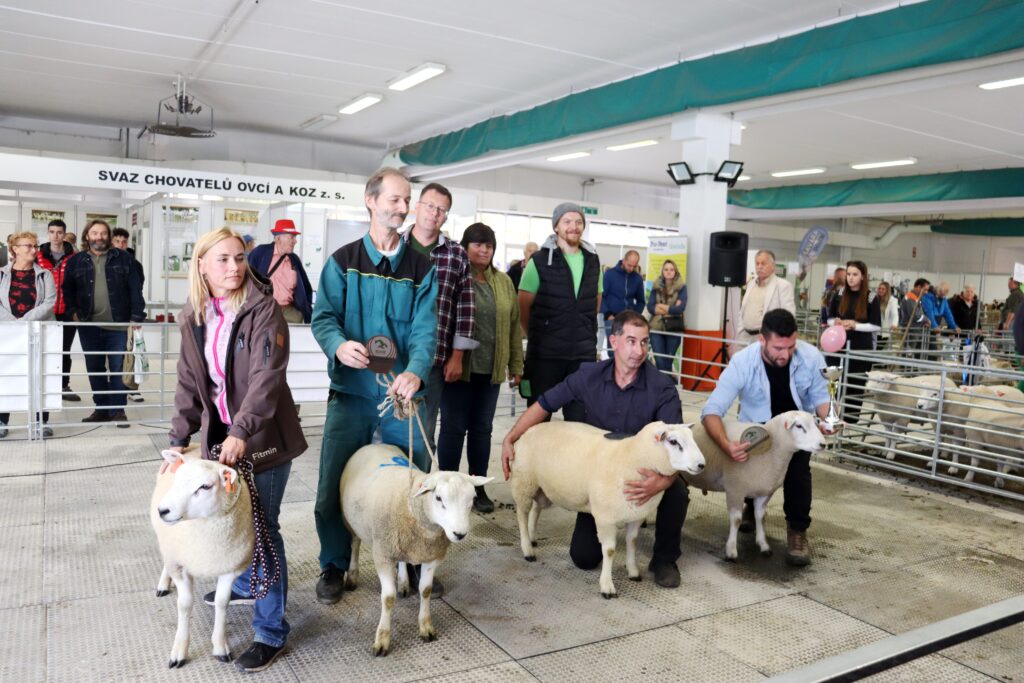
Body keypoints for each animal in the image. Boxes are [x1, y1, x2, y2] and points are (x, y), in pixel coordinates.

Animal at [149, 448, 253, 667]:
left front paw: (220, 646)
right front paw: (179, 650)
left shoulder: (230, 567)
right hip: (167, 543)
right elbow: (185, 605)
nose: (163, 511)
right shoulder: (180, 565)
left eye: (205, 486)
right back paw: (163, 584)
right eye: (177, 479)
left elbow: (222, 603)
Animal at [339, 444, 491, 655]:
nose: (459, 534)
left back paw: (403, 582)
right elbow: (388, 598)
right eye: (438, 498)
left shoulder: (431, 555)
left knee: (403, 558)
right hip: (351, 522)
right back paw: (352, 576)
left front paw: (426, 628)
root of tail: (375, 444)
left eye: (473, 498)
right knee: (354, 544)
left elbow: (425, 590)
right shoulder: (383, 555)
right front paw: (382, 639)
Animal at [509, 419, 704, 602]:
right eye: (673, 441)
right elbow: (609, 551)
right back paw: (527, 549)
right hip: (523, 481)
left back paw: (532, 537)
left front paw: (633, 571)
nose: (701, 465)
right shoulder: (605, 518)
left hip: (543, 487)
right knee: (522, 514)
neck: (631, 458)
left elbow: (632, 541)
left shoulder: (636, 516)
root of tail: (530, 429)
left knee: (536, 509)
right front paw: (607, 586)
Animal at [688, 411, 823, 561]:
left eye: (816, 424)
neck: (772, 452)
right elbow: (736, 520)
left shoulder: (765, 492)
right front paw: (731, 550)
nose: (823, 444)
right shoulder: (735, 489)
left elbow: (759, 517)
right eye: (799, 426)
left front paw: (763, 544)